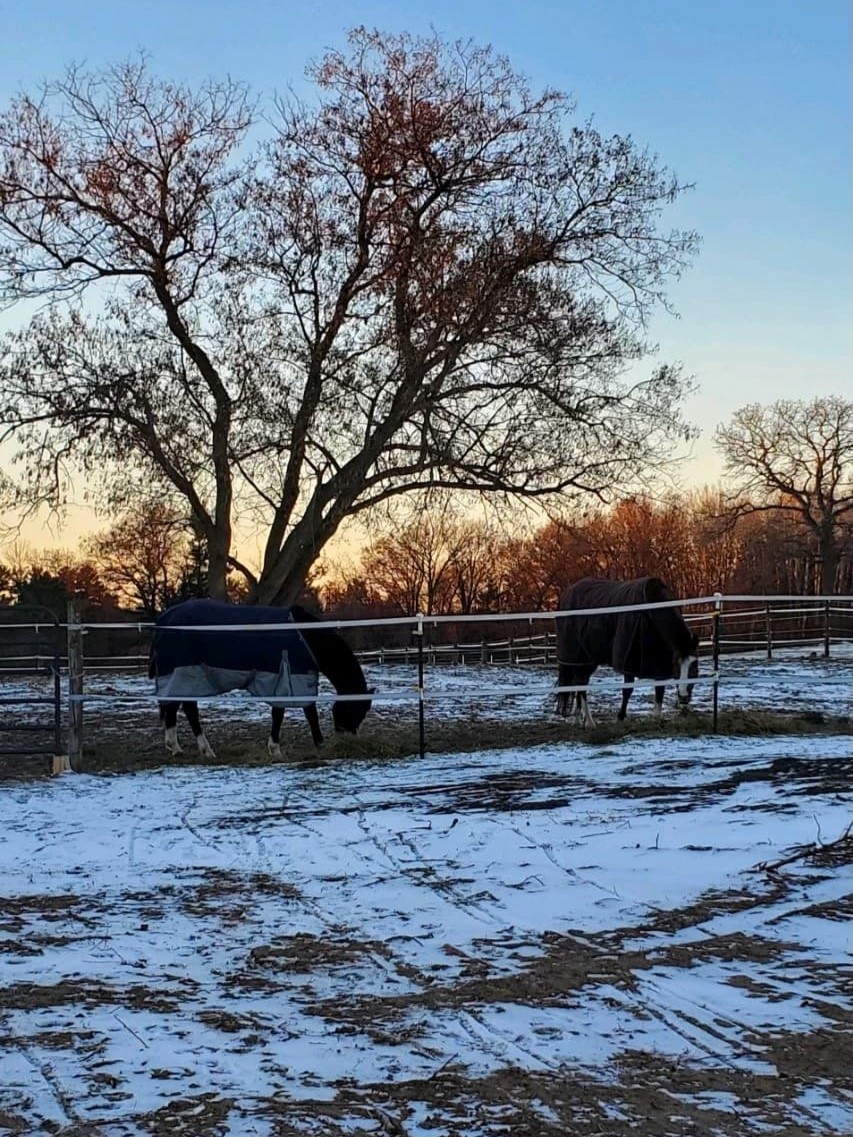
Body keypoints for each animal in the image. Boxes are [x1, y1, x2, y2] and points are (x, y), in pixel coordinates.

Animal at [147, 600, 373, 759]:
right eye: (357, 708)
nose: (349, 737)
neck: (304, 636)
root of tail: (163, 620)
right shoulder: (289, 677)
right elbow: (300, 714)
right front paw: (284, 748)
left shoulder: (292, 678)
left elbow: (296, 713)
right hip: (184, 673)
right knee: (189, 710)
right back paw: (205, 750)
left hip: (184, 676)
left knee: (177, 707)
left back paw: (176, 748)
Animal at [555, 577, 700, 727]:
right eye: (676, 665)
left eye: (694, 665)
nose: (684, 697)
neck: (649, 612)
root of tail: (566, 594)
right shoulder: (627, 660)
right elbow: (627, 690)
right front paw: (620, 717)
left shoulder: (659, 662)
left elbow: (659, 690)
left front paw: (656, 718)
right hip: (578, 658)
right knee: (581, 687)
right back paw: (589, 723)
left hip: (587, 661)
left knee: (580, 685)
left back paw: (579, 720)